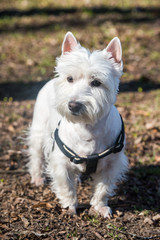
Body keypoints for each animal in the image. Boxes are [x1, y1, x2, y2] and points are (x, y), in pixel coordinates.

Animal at [26, 31, 128, 218]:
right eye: (70, 78)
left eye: (96, 82)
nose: (73, 105)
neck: (87, 128)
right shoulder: (60, 162)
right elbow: (66, 186)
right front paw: (69, 207)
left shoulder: (112, 164)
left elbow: (103, 188)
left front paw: (100, 207)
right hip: (38, 130)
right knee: (36, 155)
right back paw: (37, 178)